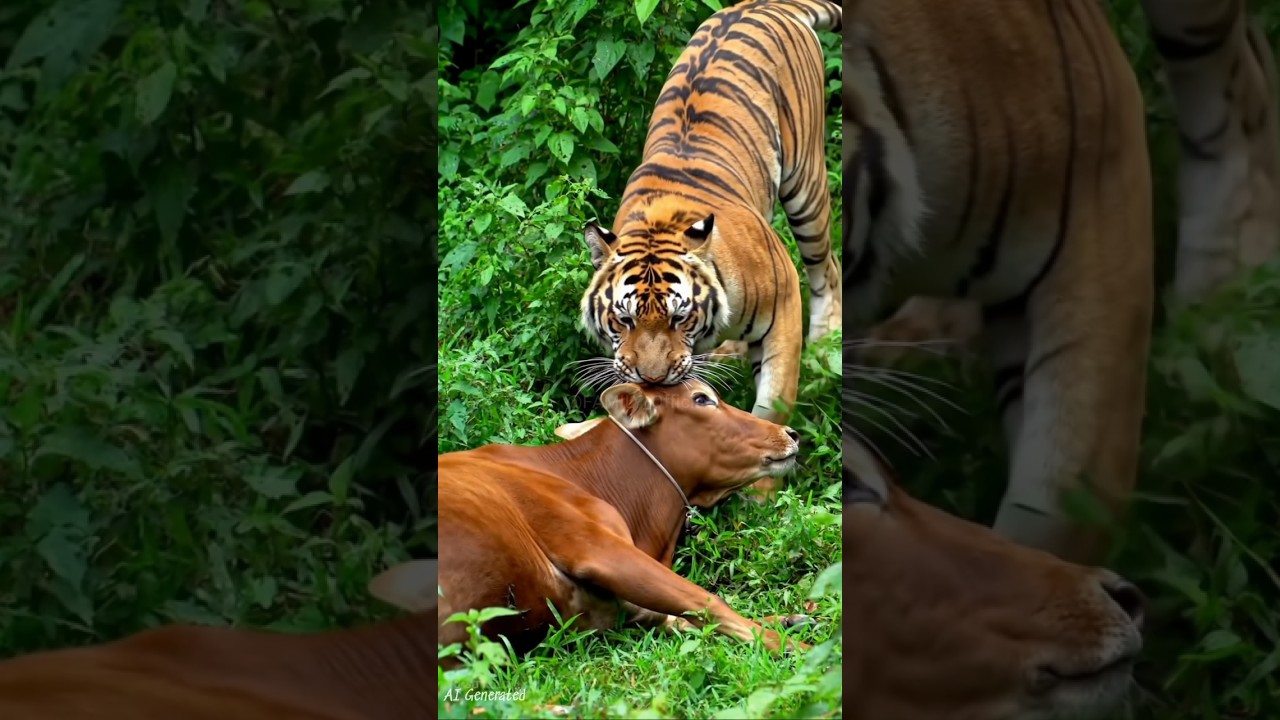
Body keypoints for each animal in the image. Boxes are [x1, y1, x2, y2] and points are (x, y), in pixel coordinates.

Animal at [577, 0, 844, 498]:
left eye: (680, 318)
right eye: (624, 320)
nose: (652, 379)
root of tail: (765, 5)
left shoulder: (784, 301)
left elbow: (773, 401)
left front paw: (761, 496)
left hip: (807, 181)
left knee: (828, 269)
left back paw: (823, 350)